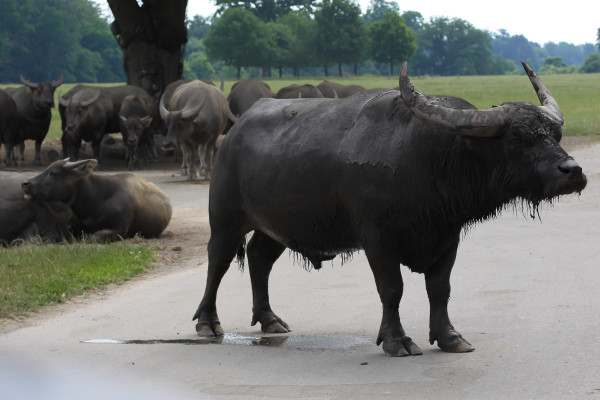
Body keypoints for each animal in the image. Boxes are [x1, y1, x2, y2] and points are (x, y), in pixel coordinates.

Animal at [195, 61, 588, 356]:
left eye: (555, 135)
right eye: (518, 138)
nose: (573, 171)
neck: (429, 157)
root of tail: (235, 131)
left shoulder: (447, 236)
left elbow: (439, 288)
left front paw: (450, 337)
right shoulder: (377, 239)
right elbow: (392, 288)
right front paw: (396, 340)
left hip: (276, 225)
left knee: (260, 259)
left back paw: (270, 319)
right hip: (226, 218)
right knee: (218, 262)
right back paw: (207, 323)